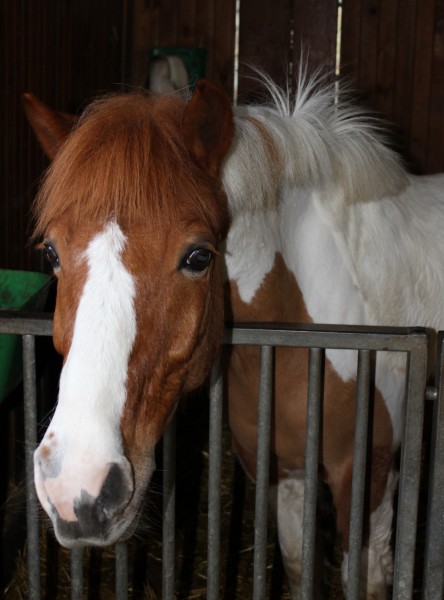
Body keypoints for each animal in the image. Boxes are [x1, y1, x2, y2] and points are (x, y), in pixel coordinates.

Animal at [23, 71, 444, 600]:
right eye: (51, 252)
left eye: (199, 256)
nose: (77, 487)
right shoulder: (282, 472)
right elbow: (299, 565)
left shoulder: (370, 476)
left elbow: (364, 578)